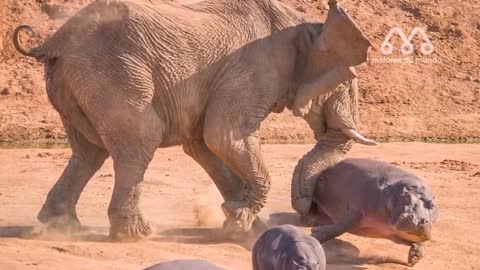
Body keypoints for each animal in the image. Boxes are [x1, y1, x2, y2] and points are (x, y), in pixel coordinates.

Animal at [12, 0, 376, 239]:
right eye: (344, 82)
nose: (307, 212)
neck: (304, 23)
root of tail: (53, 40)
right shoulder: (255, 69)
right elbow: (224, 136)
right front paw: (241, 219)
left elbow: (205, 145)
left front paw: (243, 224)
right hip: (113, 74)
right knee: (140, 140)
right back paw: (136, 234)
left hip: (73, 81)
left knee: (89, 151)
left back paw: (62, 226)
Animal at [304, 158, 438, 266]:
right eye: (407, 197)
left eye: (432, 205)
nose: (419, 221)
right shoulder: (356, 211)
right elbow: (339, 227)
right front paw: (314, 235)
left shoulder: (392, 234)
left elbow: (417, 243)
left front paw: (414, 257)